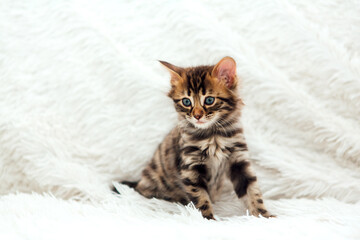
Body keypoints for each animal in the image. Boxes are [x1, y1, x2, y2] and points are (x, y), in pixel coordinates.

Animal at [115, 57, 272, 220]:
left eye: (209, 100)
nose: (197, 116)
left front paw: (263, 215)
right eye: (186, 102)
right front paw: (208, 219)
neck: (213, 135)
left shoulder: (239, 159)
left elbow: (252, 191)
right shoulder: (191, 167)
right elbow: (201, 199)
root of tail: (140, 182)